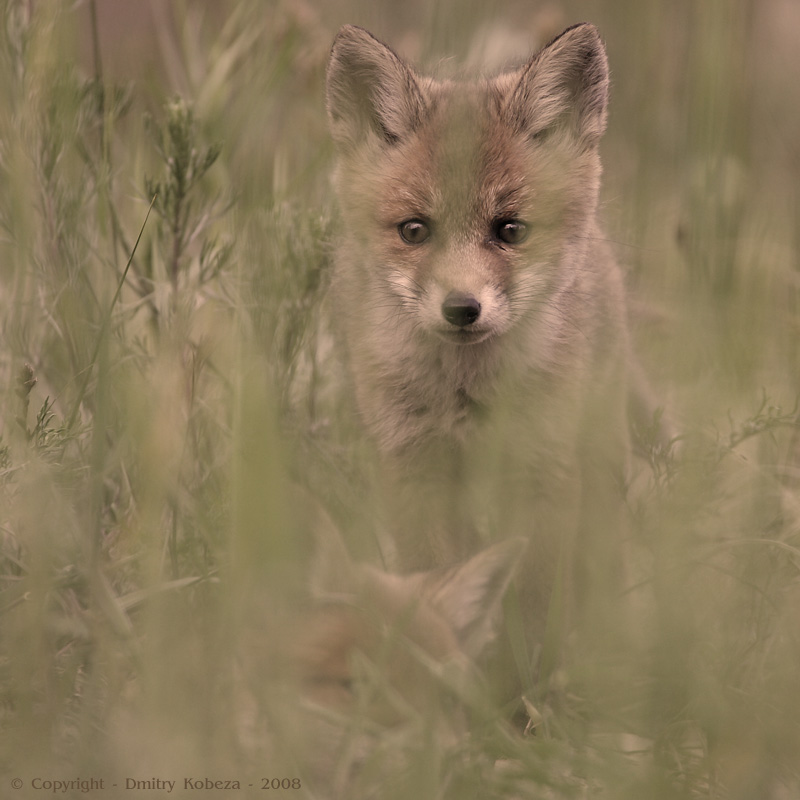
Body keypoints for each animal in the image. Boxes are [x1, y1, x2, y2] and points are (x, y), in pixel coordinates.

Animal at [324, 23, 648, 688]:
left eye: (510, 230)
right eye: (414, 230)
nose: (462, 309)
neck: (465, 397)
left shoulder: (545, 473)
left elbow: (536, 604)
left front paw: (526, 695)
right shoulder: (413, 471)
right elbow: (429, 583)